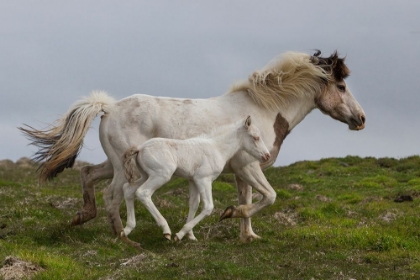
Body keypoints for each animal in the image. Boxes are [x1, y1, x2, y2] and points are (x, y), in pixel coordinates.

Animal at [120, 116, 270, 241]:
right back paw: (166, 230)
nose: (267, 156)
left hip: (146, 175)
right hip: (161, 175)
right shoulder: (203, 179)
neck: (217, 148)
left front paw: (190, 236)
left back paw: (126, 230)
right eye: (255, 137)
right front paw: (180, 234)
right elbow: (208, 206)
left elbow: (194, 203)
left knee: (128, 189)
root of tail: (140, 147)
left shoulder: (193, 180)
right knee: (143, 193)